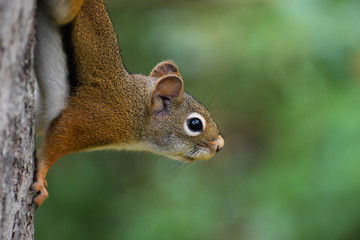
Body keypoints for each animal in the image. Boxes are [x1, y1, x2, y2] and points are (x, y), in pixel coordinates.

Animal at [31, 0, 225, 206]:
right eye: (195, 124)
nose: (220, 145)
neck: (133, 108)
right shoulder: (84, 118)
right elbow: (53, 145)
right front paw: (41, 180)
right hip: (63, 11)